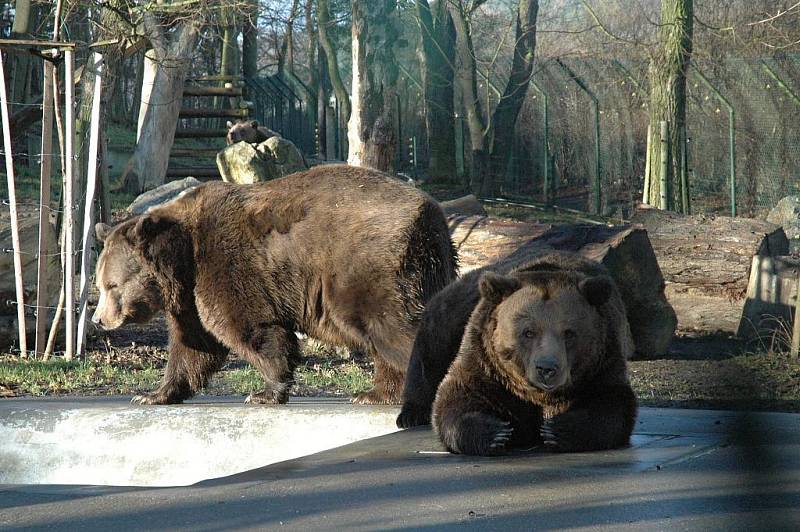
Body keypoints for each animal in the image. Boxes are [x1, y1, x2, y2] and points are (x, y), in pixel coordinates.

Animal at [92, 164, 456, 406]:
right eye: (100, 284)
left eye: (112, 285)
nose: (99, 319)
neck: (183, 260)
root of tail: (431, 215)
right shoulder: (188, 298)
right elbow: (193, 345)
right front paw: (154, 394)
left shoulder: (225, 264)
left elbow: (247, 327)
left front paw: (266, 392)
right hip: (429, 268)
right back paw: (375, 393)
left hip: (366, 267)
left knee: (393, 326)